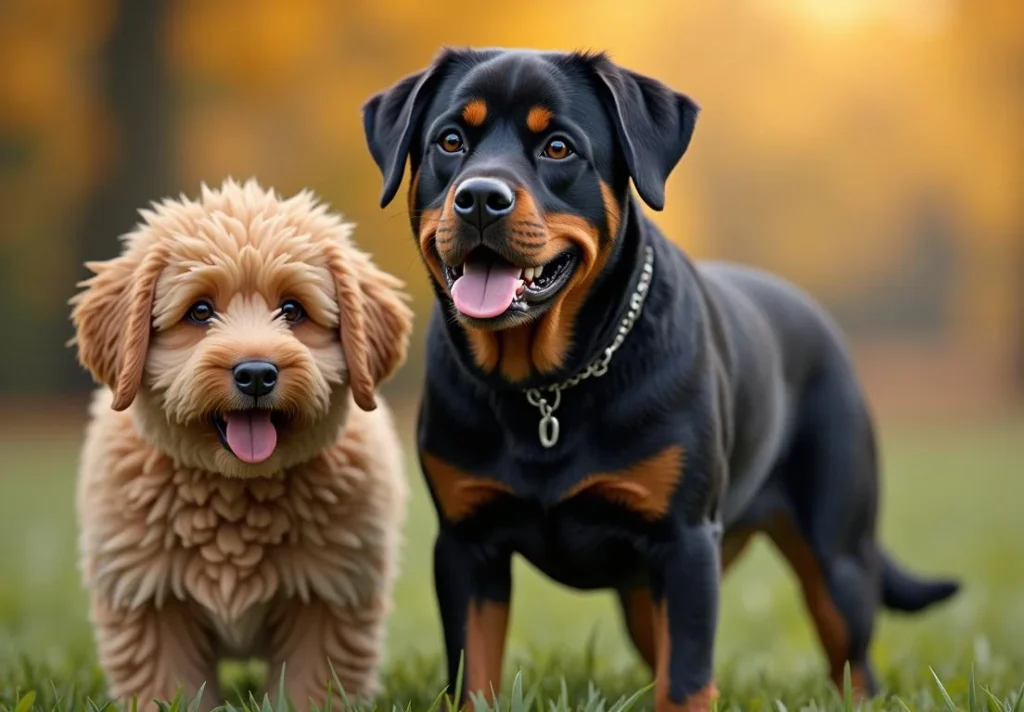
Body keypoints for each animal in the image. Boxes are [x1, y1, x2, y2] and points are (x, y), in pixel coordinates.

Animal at [68, 177, 413, 708]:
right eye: (200, 311)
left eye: (292, 310)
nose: (255, 374)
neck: (236, 490)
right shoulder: (148, 598)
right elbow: (167, 687)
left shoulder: (332, 593)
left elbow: (313, 685)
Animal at [362, 47, 958, 708]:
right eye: (450, 141)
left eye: (559, 148)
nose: (480, 197)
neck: (548, 388)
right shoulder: (467, 543)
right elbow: (474, 671)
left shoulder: (684, 540)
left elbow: (688, 676)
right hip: (644, 591)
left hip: (838, 554)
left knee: (853, 658)